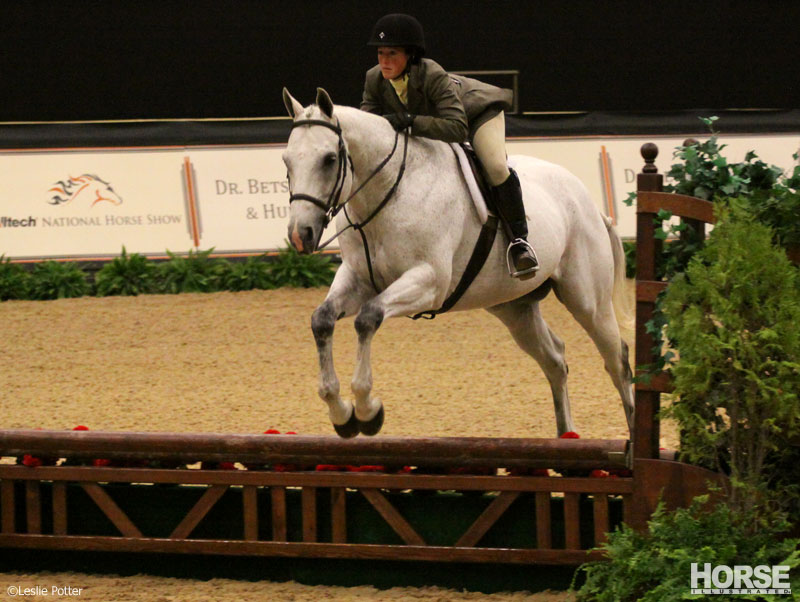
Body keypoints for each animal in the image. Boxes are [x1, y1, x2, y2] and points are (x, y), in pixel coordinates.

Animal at [282, 86, 632, 438]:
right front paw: (342, 414)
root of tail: (589, 202)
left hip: (589, 302)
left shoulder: (429, 282)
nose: (300, 235)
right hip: (514, 308)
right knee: (555, 360)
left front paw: (368, 411)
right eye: (286, 161)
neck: (386, 194)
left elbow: (368, 318)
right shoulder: (357, 278)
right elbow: (322, 320)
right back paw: (566, 435)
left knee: (617, 361)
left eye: (329, 159)